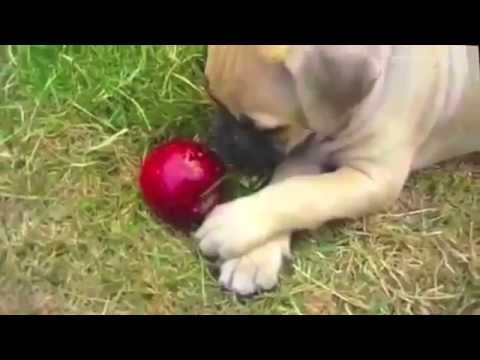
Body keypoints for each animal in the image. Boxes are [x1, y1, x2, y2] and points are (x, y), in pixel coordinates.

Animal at [193, 45, 478, 296]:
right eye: (213, 98)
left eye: (269, 129)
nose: (222, 149)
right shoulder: (302, 153)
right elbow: (284, 187)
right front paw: (253, 258)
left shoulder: (375, 177)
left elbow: (304, 191)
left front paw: (234, 224)